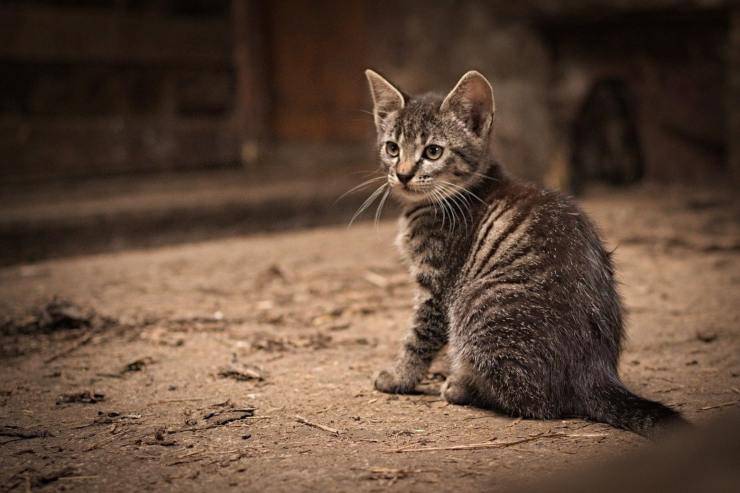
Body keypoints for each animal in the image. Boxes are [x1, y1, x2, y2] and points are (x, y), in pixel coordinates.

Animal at [368, 68, 684, 434]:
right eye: (392, 148)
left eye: (433, 151)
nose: (403, 174)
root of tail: (594, 372)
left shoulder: (437, 285)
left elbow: (419, 336)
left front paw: (398, 376)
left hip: (477, 309)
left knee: (534, 400)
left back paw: (462, 387)